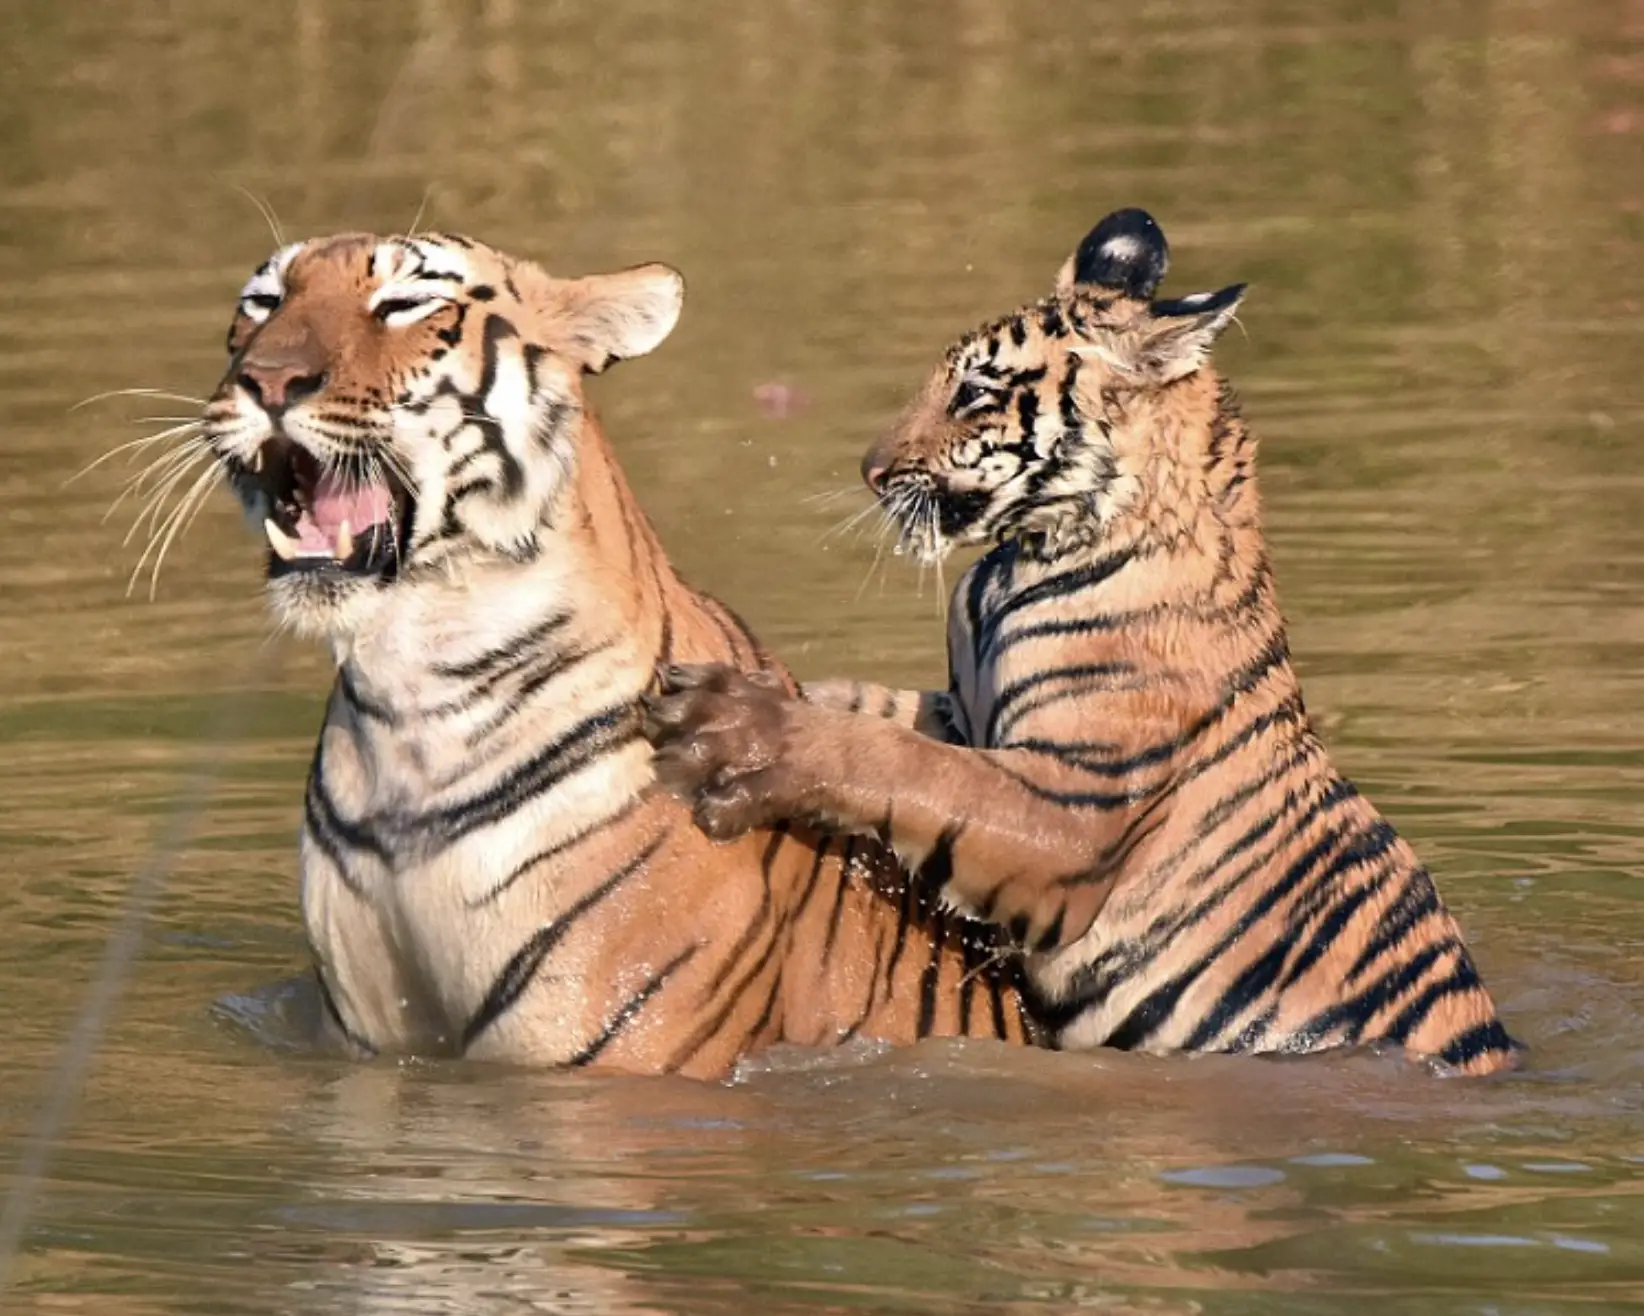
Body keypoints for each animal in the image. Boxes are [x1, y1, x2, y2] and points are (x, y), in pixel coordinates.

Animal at [642, 207, 1520, 1076]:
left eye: (974, 392)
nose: (871, 471)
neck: (1018, 561)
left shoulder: (1072, 808)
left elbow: (905, 765)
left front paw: (737, 731)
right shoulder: (962, 712)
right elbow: (870, 706)